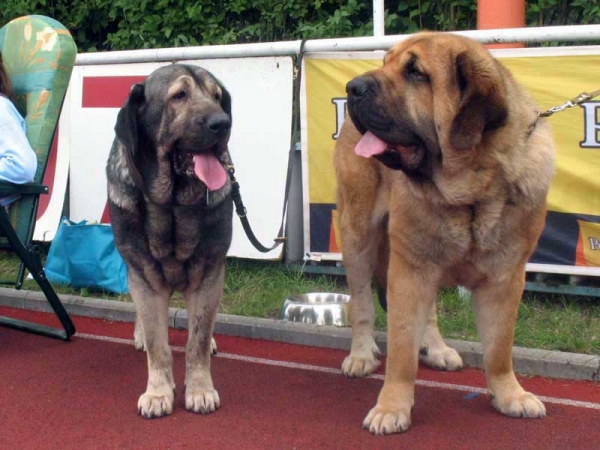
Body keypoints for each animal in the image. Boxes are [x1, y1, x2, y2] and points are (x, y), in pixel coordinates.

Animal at [106, 63, 233, 418]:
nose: (223, 122)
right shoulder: (144, 275)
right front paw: (158, 393)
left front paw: (200, 389)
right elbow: (157, 343)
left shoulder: (208, 273)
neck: (173, 201)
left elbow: (197, 339)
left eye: (217, 96)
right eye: (179, 96)